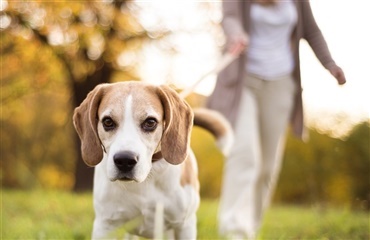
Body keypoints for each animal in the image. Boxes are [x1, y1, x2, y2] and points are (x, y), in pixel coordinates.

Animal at [73, 81, 233, 239]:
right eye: (107, 122)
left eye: (150, 122)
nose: (124, 160)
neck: (148, 178)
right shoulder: (105, 225)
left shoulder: (184, 225)